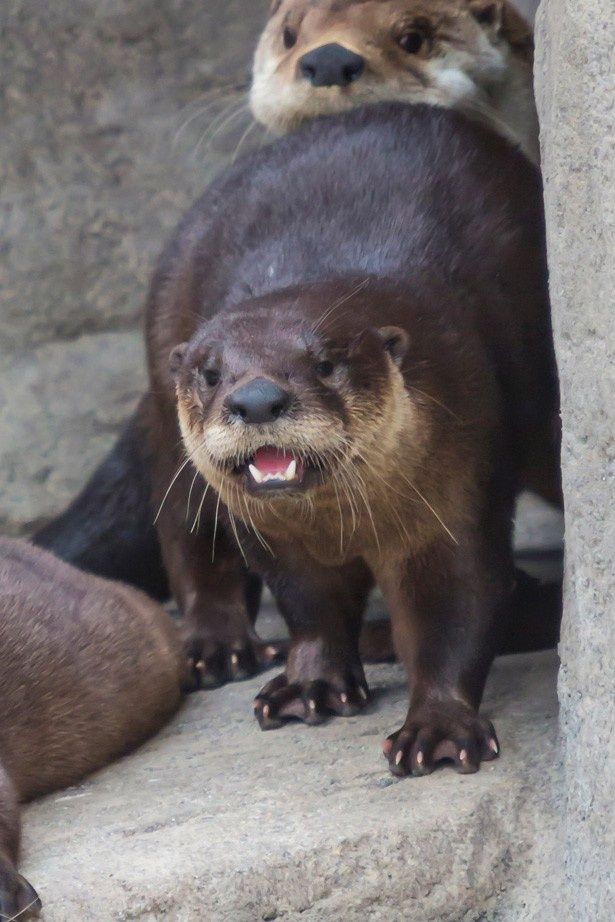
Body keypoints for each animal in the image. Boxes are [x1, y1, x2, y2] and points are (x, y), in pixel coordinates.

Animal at [143, 102, 560, 776]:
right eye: (209, 373)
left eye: (325, 364)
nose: (255, 399)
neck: (341, 528)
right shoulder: (277, 541)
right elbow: (308, 606)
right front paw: (309, 683)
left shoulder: (454, 497)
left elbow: (458, 606)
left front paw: (436, 727)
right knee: (186, 528)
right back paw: (217, 647)